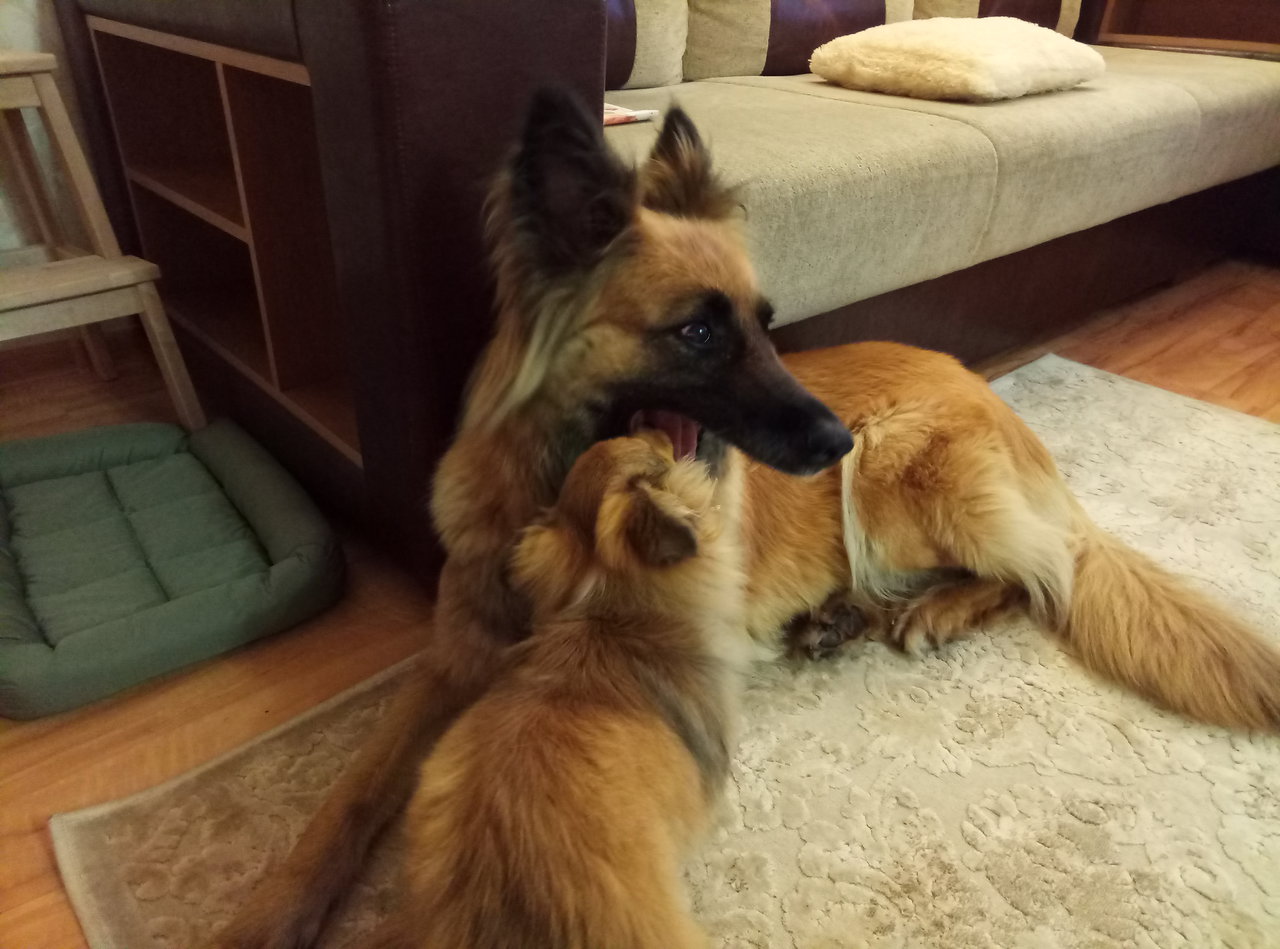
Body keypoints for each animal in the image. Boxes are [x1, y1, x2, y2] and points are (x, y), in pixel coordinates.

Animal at [216, 88, 1280, 949]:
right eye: (697, 330)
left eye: (768, 325)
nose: (835, 437)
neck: (559, 489)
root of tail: (1003, 412)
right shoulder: (453, 656)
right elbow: (350, 793)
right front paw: (274, 907)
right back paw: (843, 616)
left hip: (902, 482)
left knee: (1037, 572)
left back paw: (927, 611)